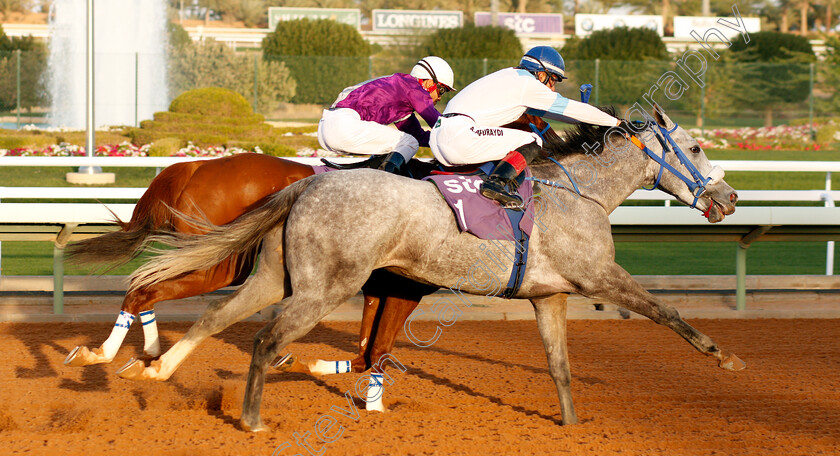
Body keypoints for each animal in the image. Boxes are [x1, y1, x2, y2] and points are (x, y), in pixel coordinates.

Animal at [62, 113, 556, 378]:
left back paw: (141, 352)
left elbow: (366, 347)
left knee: (146, 285)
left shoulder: (379, 285)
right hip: (221, 262)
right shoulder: (406, 286)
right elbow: (374, 351)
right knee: (145, 286)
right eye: (539, 128)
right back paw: (108, 352)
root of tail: (195, 166)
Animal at [123, 107, 740, 432]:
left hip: (275, 276)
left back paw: (157, 369)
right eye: (696, 146)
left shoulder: (550, 295)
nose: (730, 198)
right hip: (326, 286)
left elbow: (559, 365)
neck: (577, 193)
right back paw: (250, 418)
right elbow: (665, 310)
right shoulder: (598, 276)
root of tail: (307, 185)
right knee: (261, 337)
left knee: (215, 318)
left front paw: (570, 424)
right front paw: (725, 357)